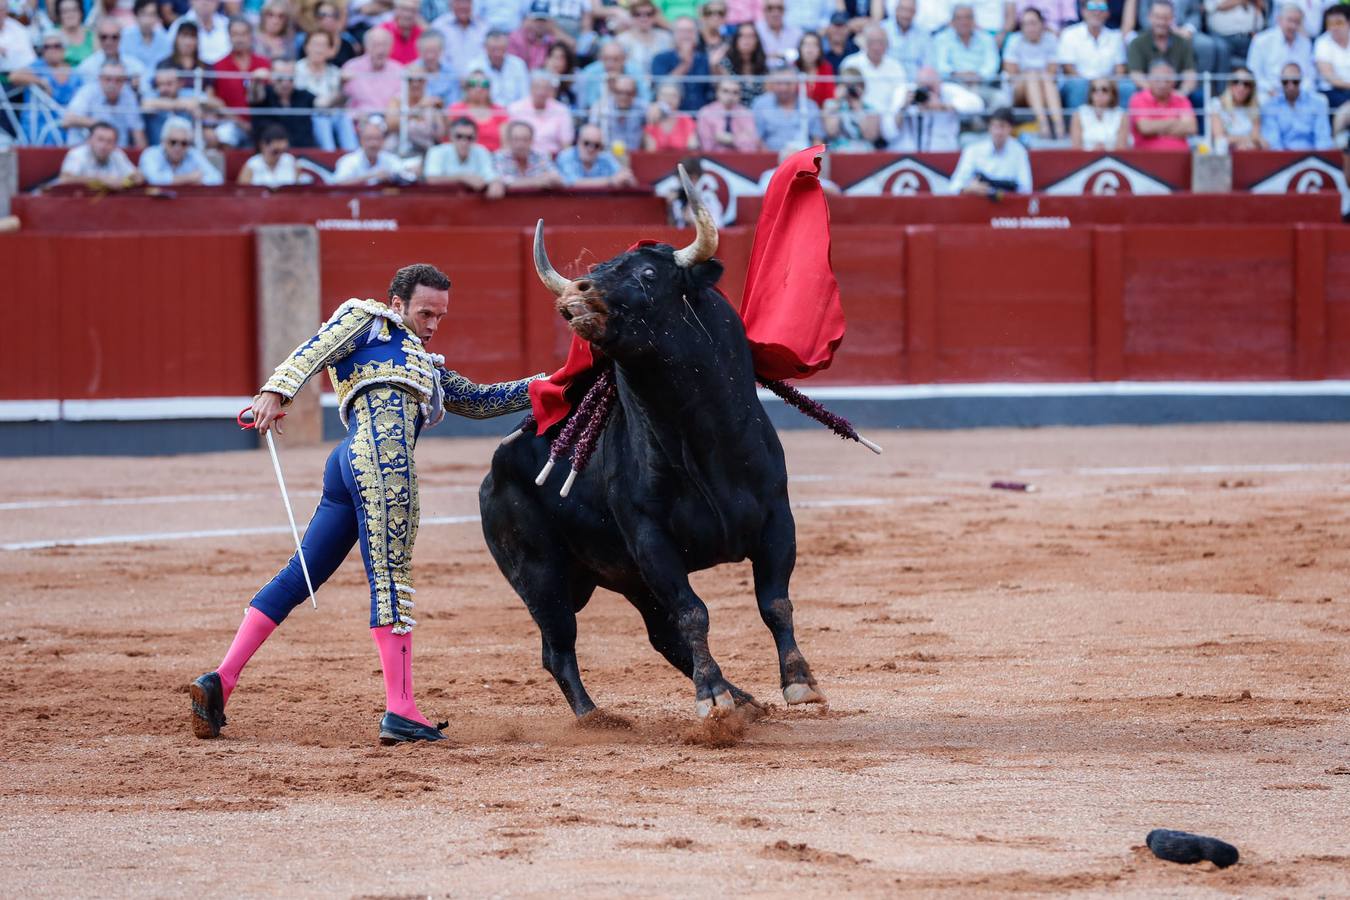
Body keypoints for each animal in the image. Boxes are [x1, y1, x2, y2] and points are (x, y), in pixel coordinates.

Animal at [480, 178, 826, 723]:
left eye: (646, 273)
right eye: (600, 270)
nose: (577, 293)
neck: (702, 441)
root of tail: (492, 473)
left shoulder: (777, 519)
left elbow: (774, 602)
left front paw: (799, 683)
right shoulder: (652, 543)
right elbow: (693, 611)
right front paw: (711, 696)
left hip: (629, 581)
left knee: (660, 637)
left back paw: (744, 699)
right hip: (540, 575)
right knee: (559, 646)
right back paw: (595, 717)